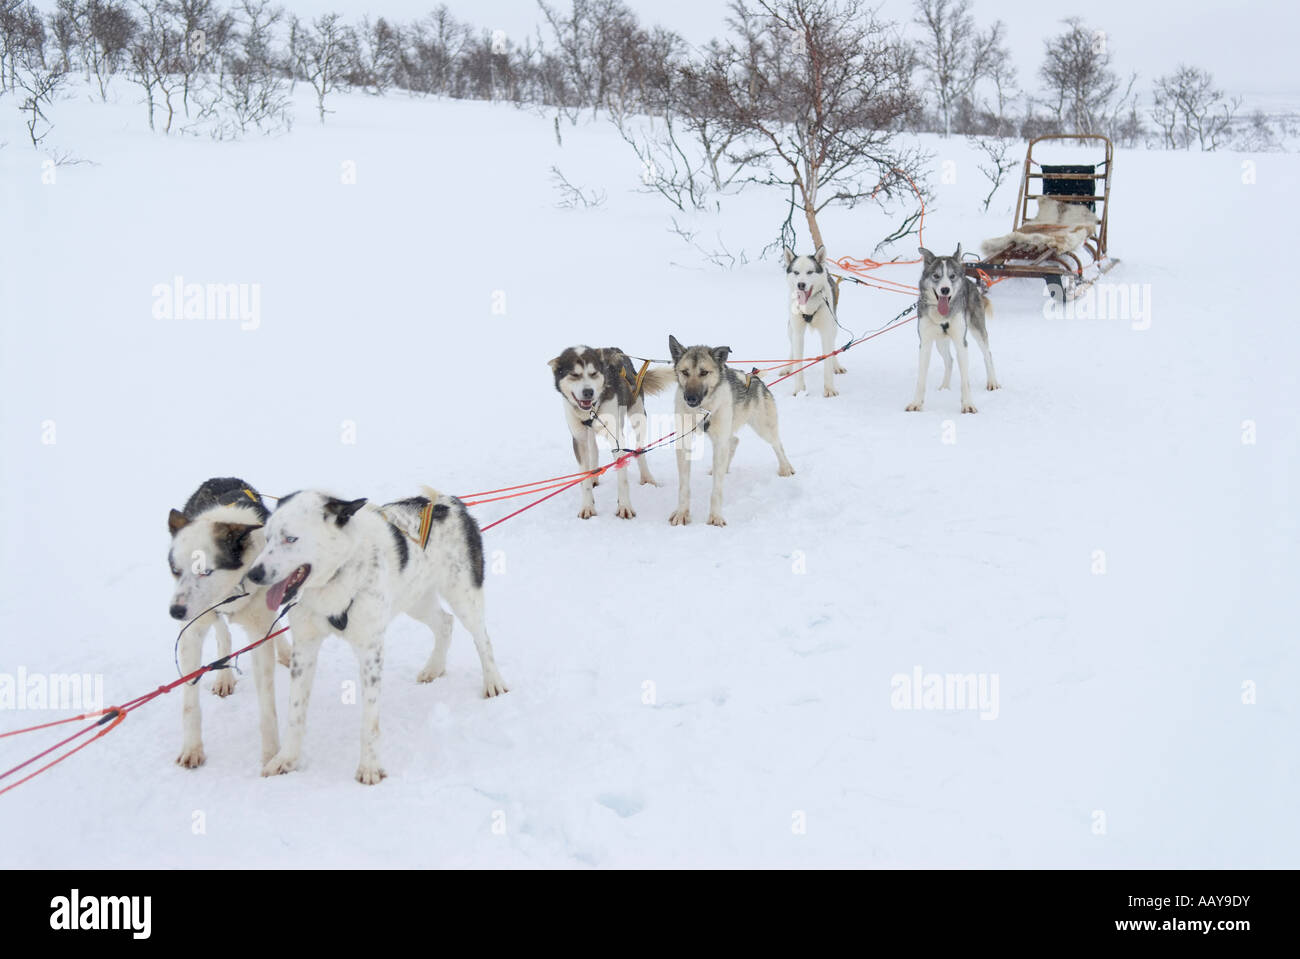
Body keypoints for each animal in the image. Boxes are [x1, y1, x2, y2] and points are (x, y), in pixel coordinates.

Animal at [167, 478, 289, 769]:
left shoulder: (259, 631)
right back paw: (224, 675)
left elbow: (267, 704)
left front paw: (270, 753)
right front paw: (192, 748)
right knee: (224, 634)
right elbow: (189, 702)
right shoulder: (191, 632)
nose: (175, 611)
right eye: (175, 570)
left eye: (205, 570)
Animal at [245, 488, 504, 779]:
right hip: (415, 601)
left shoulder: (370, 649)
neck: (336, 577)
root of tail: (447, 501)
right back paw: (434, 668)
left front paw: (369, 766)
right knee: (445, 623)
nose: (254, 574)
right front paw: (287, 758)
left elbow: (369, 719)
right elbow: (295, 712)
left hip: (463, 597)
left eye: (290, 538)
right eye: (267, 538)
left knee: (481, 638)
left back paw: (493, 681)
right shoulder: (305, 646)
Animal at [548, 345, 676, 514]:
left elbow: (622, 478)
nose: (588, 392)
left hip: (638, 416)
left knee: (639, 450)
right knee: (594, 450)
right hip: (591, 434)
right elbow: (585, 477)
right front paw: (587, 506)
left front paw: (624, 506)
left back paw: (647, 477)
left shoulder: (616, 437)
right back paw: (594, 475)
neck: (592, 409)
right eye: (574, 375)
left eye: (593, 373)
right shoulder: (579, 439)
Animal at [785, 246, 847, 400]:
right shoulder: (798, 333)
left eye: (810, 272)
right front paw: (799, 390)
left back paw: (836, 365)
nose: (801, 284)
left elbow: (828, 363)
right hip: (790, 329)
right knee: (792, 347)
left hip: (833, 327)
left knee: (832, 347)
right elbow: (798, 362)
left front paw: (829, 389)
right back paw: (787, 367)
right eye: (796, 272)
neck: (809, 307)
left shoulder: (826, 332)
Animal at [909, 242, 998, 410]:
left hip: (977, 331)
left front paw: (968, 405)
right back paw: (944, 387)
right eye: (936, 276)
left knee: (988, 354)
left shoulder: (961, 343)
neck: (943, 315)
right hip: (940, 341)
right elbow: (921, 378)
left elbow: (965, 380)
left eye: (952, 276)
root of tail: (970, 282)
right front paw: (916, 403)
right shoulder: (925, 343)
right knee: (949, 360)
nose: (945, 289)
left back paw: (993, 382)